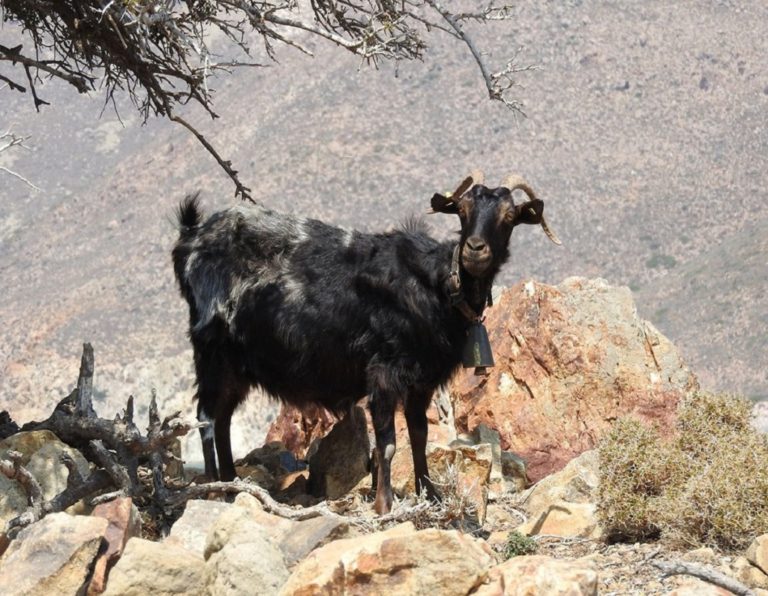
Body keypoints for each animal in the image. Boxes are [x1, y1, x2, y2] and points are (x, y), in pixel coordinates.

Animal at [172, 172, 560, 512]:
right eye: (462, 210)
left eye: (509, 216)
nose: (475, 250)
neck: (436, 284)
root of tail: (190, 237)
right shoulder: (384, 372)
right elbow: (387, 443)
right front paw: (384, 503)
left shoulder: (422, 380)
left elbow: (419, 434)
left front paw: (429, 492)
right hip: (212, 349)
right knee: (207, 416)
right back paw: (214, 489)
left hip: (237, 365)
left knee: (222, 418)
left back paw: (231, 482)